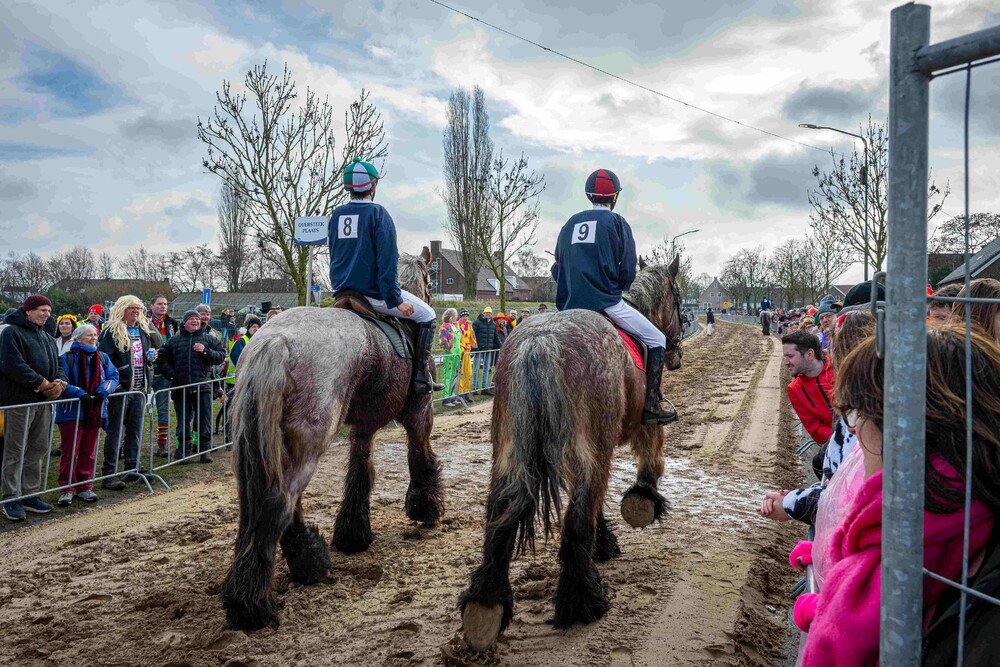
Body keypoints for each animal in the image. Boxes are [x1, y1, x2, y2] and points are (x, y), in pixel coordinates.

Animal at [220, 248, 445, 631]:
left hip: (273, 443)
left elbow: (359, 470)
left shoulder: (363, 426)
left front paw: (353, 534)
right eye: (431, 279)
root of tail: (276, 341)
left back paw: (304, 564)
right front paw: (424, 506)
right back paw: (253, 604)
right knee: (279, 503)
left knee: (275, 502)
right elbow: (419, 457)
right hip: (311, 439)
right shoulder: (420, 414)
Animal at [459, 255, 684, 651]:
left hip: (511, 452)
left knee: (502, 516)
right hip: (587, 450)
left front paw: (605, 541)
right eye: (679, 298)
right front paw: (642, 502)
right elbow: (651, 462)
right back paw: (584, 602)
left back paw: (486, 605)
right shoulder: (644, 424)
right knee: (577, 519)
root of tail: (540, 343)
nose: (675, 352)